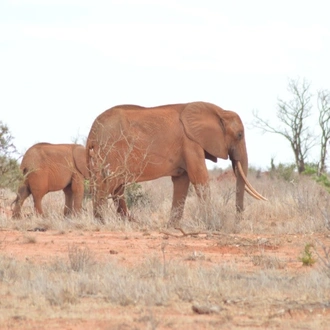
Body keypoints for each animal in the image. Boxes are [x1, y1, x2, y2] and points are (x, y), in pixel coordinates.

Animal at [86, 102, 266, 226]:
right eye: (240, 135)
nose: (238, 220)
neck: (219, 111)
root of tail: (93, 132)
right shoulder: (191, 143)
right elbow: (199, 178)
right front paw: (211, 222)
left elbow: (182, 182)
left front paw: (171, 226)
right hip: (112, 151)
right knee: (109, 183)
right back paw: (101, 222)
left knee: (115, 186)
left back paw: (131, 222)